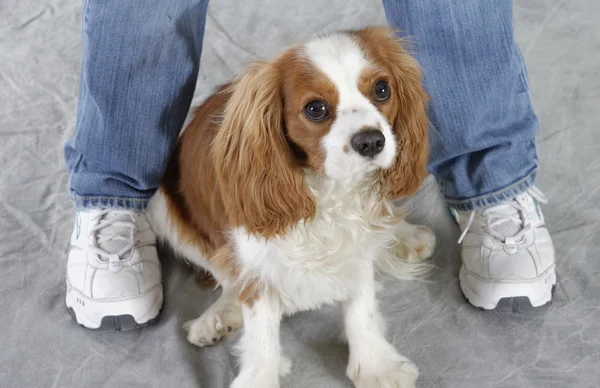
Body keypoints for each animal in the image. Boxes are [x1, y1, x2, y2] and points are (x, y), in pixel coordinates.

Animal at [148, 25, 434, 386]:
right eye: (315, 109)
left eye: (382, 90)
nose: (371, 141)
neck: (329, 192)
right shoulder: (255, 257)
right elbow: (260, 324)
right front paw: (259, 376)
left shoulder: (356, 242)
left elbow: (362, 305)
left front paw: (375, 365)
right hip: (161, 208)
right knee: (225, 279)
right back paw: (219, 315)